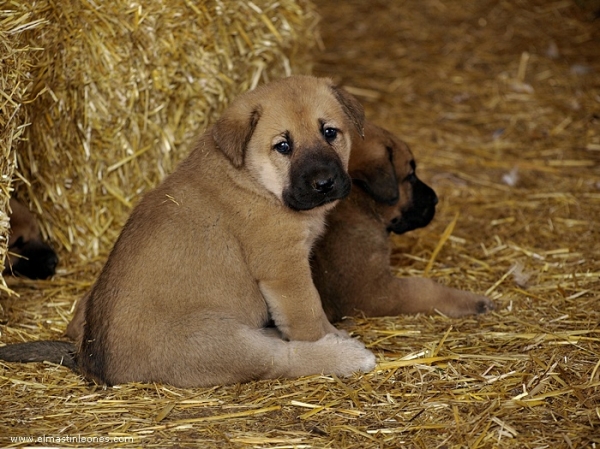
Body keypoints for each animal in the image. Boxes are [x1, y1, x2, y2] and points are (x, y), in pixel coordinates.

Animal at [0, 75, 376, 386]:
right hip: (218, 341)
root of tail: (88, 360)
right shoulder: (284, 268)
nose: (324, 184)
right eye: (283, 146)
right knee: (281, 359)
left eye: (330, 132)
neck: (252, 180)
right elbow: (309, 317)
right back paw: (347, 357)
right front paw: (332, 337)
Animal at [312, 122, 494, 322]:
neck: (358, 203)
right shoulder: (371, 292)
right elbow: (426, 289)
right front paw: (475, 302)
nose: (435, 199)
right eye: (410, 175)